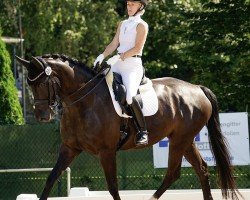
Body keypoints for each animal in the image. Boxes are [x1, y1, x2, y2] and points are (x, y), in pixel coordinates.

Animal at [15, 54, 240, 200]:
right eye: (29, 84)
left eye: (42, 83)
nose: (42, 116)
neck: (84, 102)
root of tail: (197, 89)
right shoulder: (70, 148)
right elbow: (51, 178)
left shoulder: (106, 151)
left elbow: (113, 187)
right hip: (185, 139)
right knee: (201, 169)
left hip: (179, 140)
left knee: (173, 173)